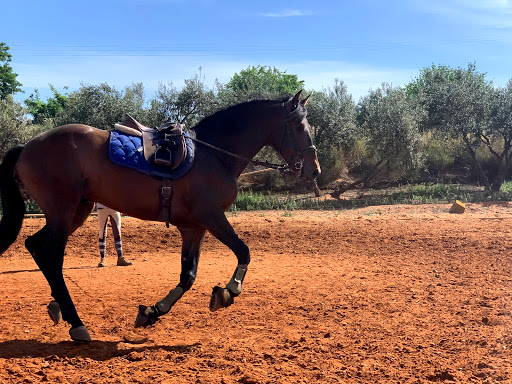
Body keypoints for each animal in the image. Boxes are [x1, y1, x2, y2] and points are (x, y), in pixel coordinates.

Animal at [0, 91, 320, 342]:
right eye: (298, 125)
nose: (313, 169)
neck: (213, 155)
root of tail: (28, 146)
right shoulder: (211, 216)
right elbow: (244, 251)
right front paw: (229, 290)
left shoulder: (194, 229)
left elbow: (187, 277)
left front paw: (153, 312)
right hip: (63, 211)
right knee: (50, 256)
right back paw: (76, 322)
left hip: (75, 212)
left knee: (36, 247)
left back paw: (59, 308)